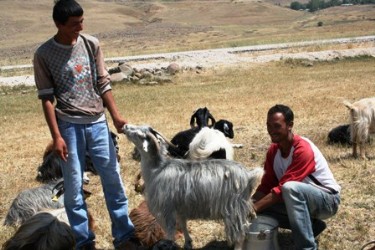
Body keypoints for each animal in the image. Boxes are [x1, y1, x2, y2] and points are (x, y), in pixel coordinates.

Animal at [123, 124, 264, 249]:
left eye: (139, 134)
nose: (124, 126)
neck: (157, 169)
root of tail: (249, 176)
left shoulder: (166, 211)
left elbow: (170, 234)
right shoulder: (179, 208)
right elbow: (183, 225)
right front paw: (188, 243)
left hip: (234, 210)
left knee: (241, 234)